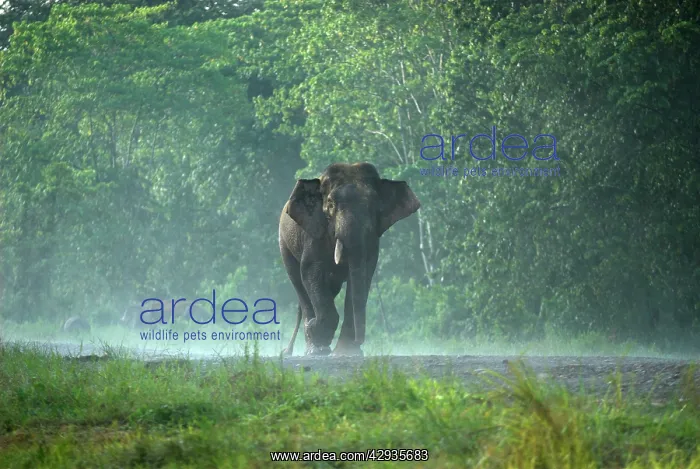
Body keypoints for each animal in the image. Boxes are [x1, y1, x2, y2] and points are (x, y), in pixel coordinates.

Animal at [279, 162, 420, 357]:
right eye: (330, 204)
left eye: (375, 206)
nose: (359, 341)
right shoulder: (314, 233)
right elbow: (311, 271)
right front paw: (318, 335)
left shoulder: (372, 240)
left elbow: (364, 274)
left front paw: (347, 352)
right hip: (284, 245)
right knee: (298, 282)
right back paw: (314, 348)